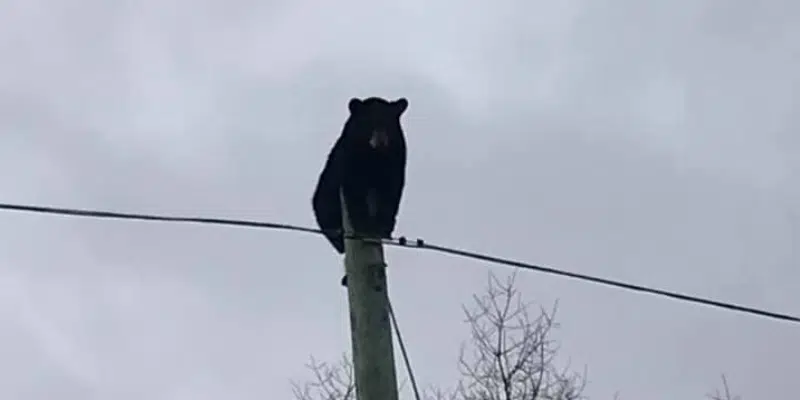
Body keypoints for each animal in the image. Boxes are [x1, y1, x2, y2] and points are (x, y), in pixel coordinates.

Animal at [312, 96, 410, 284]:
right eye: (368, 123)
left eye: (388, 123)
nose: (381, 140)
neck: (375, 156)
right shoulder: (349, 158)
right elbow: (354, 189)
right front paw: (363, 224)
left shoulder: (397, 159)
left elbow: (392, 192)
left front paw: (385, 227)